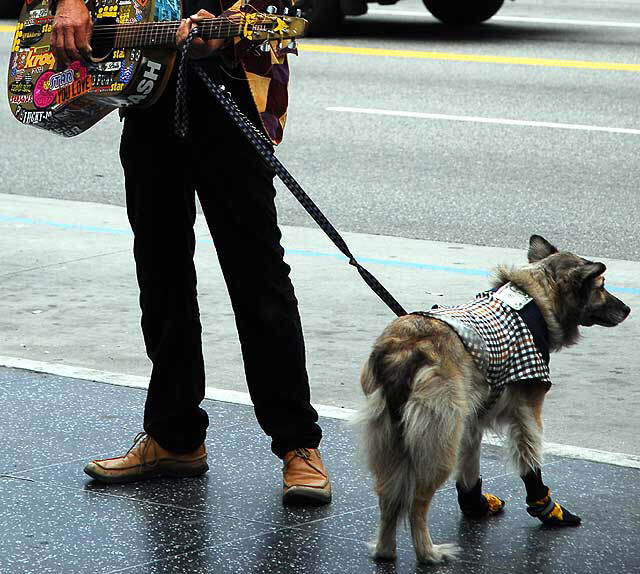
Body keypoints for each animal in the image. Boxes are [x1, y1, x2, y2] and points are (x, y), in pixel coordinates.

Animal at [358, 236, 632, 564]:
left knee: (388, 499)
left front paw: (475, 506)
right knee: (416, 504)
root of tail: (407, 350)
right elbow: (531, 463)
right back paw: (428, 553)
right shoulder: (528, 412)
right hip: (439, 442)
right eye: (601, 286)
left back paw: (385, 550)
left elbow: (470, 469)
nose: (628, 309)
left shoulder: (472, 420)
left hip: (393, 439)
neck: (536, 298)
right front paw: (548, 509)